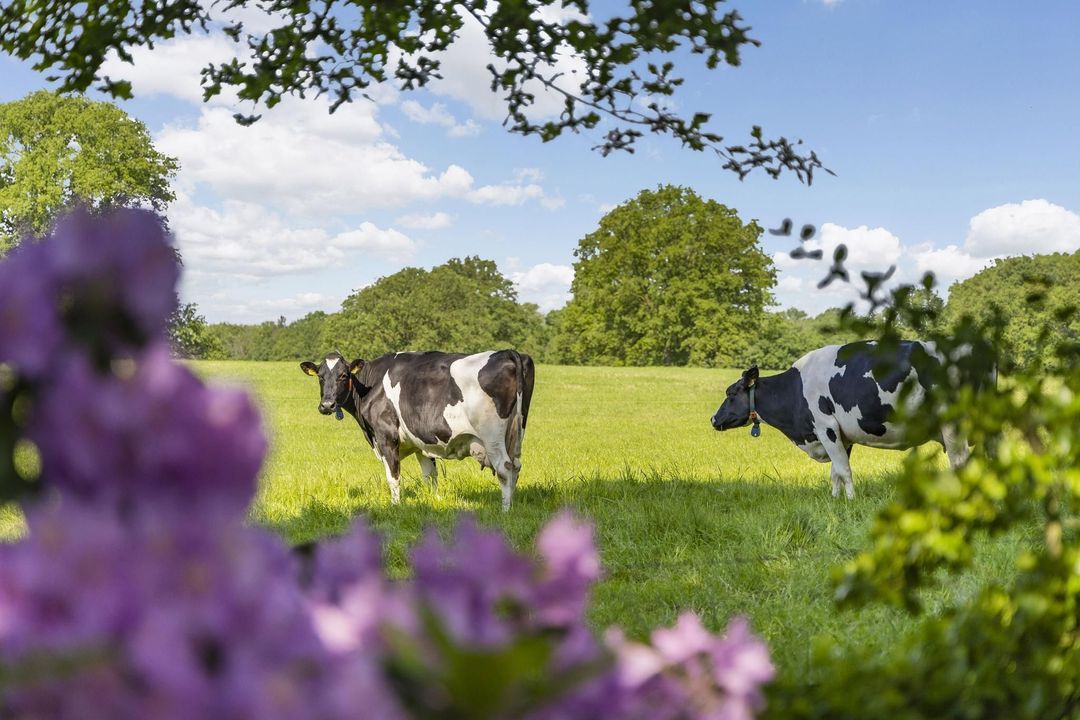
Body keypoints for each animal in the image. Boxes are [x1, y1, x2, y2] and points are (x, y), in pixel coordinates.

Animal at [300, 349, 535, 509]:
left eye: (343, 375)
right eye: (321, 376)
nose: (327, 405)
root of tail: (507, 352)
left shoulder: (386, 437)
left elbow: (393, 477)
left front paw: (395, 507)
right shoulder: (422, 443)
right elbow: (430, 475)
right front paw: (435, 502)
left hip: (492, 436)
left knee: (504, 468)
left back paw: (505, 510)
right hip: (516, 433)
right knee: (515, 467)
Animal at [708, 341, 980, 498]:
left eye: (730, 393)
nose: (712, 419)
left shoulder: (825, 427)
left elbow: (844, 470)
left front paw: (850, 501)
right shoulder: (840, 435)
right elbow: (836, 472)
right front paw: (835, 500)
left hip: (953, 425)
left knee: (960, 464)